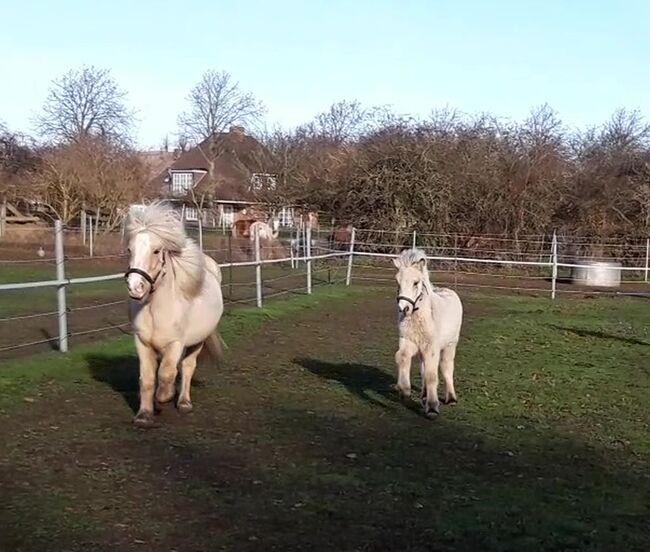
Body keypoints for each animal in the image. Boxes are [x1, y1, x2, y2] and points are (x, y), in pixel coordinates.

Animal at [125, 203, 224, 426]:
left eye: (156, 250)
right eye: (130, 250)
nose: (135, 287)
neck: (156, 310)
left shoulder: (176, 343)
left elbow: (167, 374)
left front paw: (164, 398)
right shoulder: (142, 342)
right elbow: (148, 379)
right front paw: (144, 414)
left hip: (197, 341)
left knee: (187, 367)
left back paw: (184, 402)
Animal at [390, 248, 460, 416]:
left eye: (416, 282)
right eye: (397, 282)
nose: (403, 309)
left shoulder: (432, 347)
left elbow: (431, 375)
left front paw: (433, 407)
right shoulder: (408, 341)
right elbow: (402, 357)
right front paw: (404, 389)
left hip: (450, 345)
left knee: (446, 367)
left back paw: (451, 398)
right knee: (423, 367)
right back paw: (423, 395)